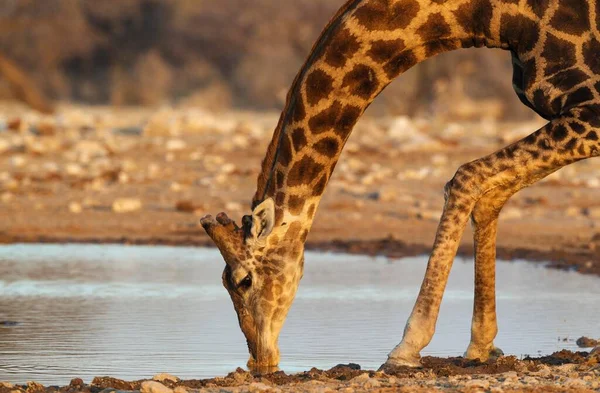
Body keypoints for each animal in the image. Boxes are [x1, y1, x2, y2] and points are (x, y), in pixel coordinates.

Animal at [200, 0, 600, 370]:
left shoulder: (590, 116)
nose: (259, 359)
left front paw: (406, 348)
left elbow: (466, 176)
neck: (502, 18)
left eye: (242, 281)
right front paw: (479, 346)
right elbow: (491, 193)